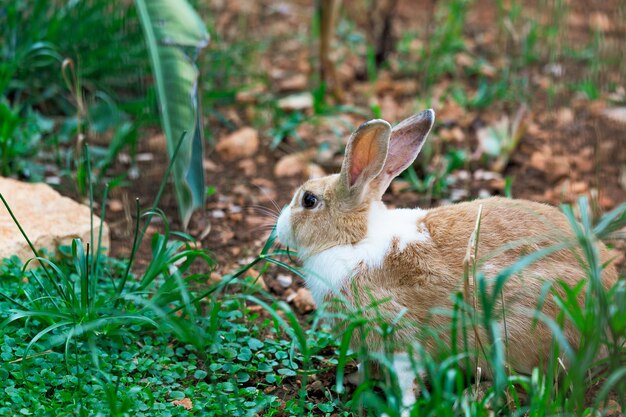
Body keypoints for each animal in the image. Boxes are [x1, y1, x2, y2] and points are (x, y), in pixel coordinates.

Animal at [274, 108, 616, 410]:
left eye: (309, 200)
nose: (279, 228)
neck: (354, 239)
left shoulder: (397, 333)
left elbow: (405, 376)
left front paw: (402, 407)